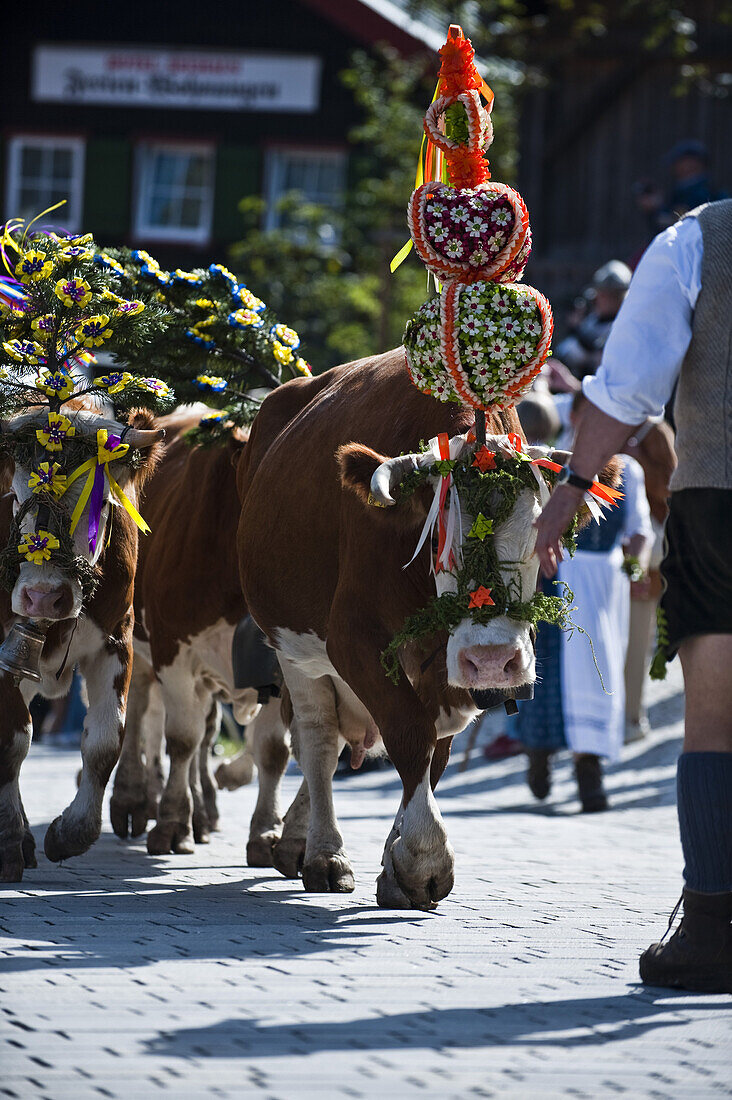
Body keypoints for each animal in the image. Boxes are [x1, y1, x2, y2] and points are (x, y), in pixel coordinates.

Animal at [0, 409, 162, 880]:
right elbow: (13, 740)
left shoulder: (116, 641)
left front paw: (70, 833)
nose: (43, 597)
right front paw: (8, 843)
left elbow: (106, 742)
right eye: (14, 500)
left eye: (102, 505)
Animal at [111, 409, 288, 862]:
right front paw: (173, 823)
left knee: (204, 730)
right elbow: (180, 740)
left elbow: (271, 750)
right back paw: (133, 800)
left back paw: (203, 812)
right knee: (138, 715)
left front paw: (266, 833)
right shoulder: (173, 650)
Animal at [238, 349, 616, 910]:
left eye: (543, 529)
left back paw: (297, 840)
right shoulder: (352, 639)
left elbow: (433, 749)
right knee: (317, 740)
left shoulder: (448, 672)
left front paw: (396, 862)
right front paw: (423, 858)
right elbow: (408, 732)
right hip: (293, 644)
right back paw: (324, 853)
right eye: (438, 535)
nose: (491, 661)